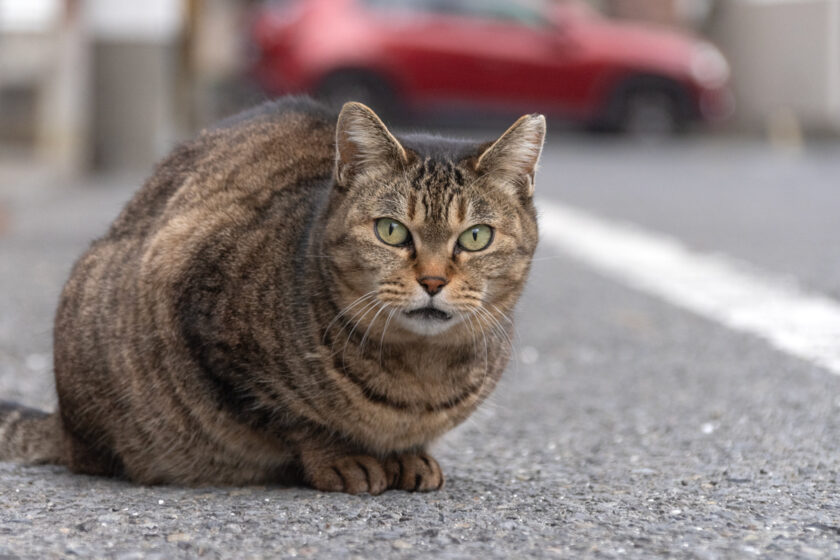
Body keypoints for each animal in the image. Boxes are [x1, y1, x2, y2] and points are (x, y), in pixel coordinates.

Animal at [0, 97, 544, 494]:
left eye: (475, 237)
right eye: (391, 231)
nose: (432, 281)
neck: (419, 373)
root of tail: (63, 424)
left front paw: (408, 457)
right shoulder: (213, 335)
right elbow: (296, 419)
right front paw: (343, 457)